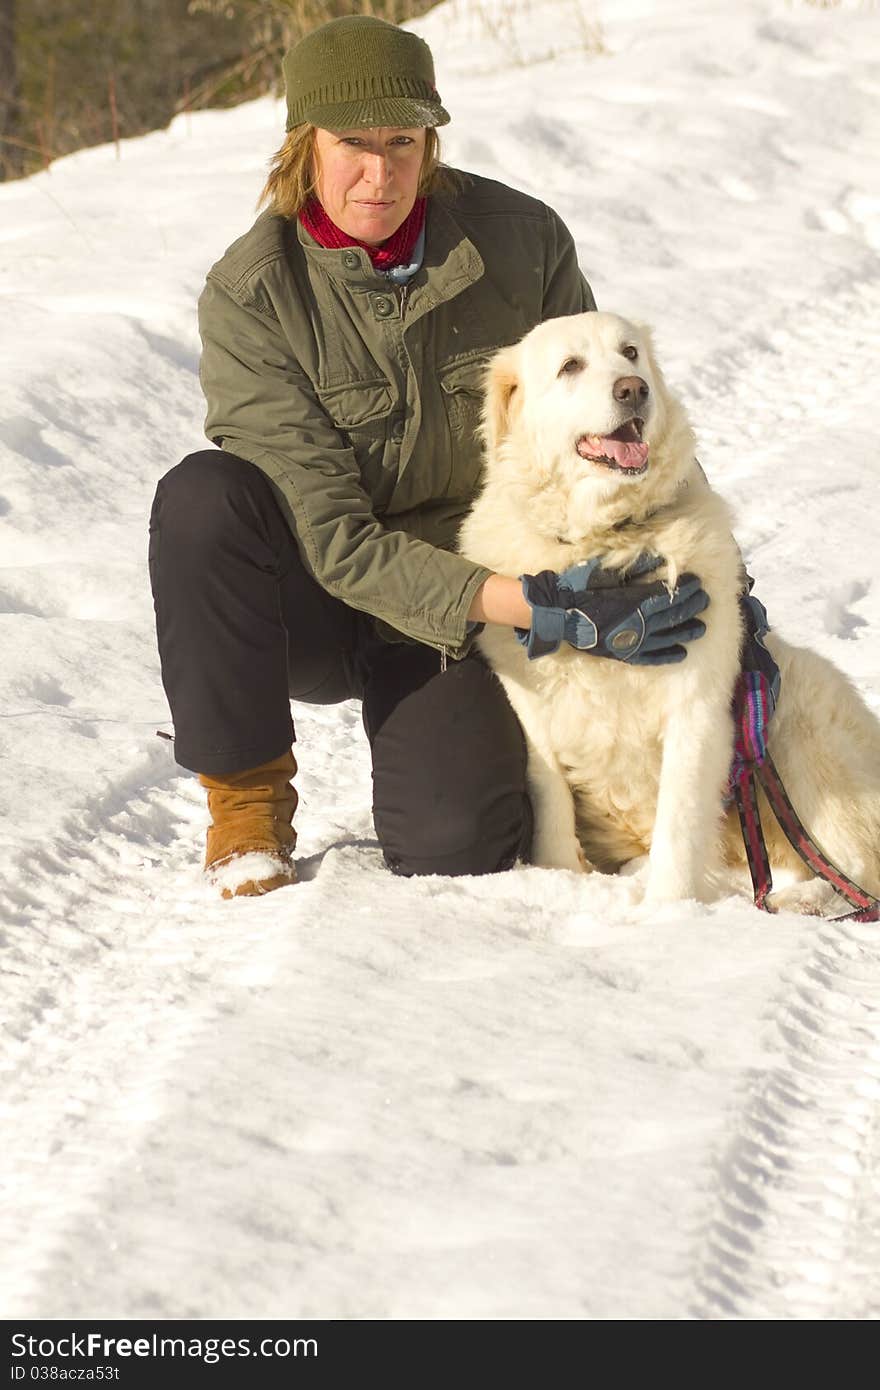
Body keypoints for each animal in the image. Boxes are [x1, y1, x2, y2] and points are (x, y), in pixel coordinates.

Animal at [458, 312, 878, 911]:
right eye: (570, 366)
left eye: (630, 352)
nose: (633, 389)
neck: (607, 548)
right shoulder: (533, 718)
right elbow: (553, 809)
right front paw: (562, 881)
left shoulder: (696, 710)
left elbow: (678, 831)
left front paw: (666, 917)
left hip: (798, 732)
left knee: (849, 869)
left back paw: (793, 902)